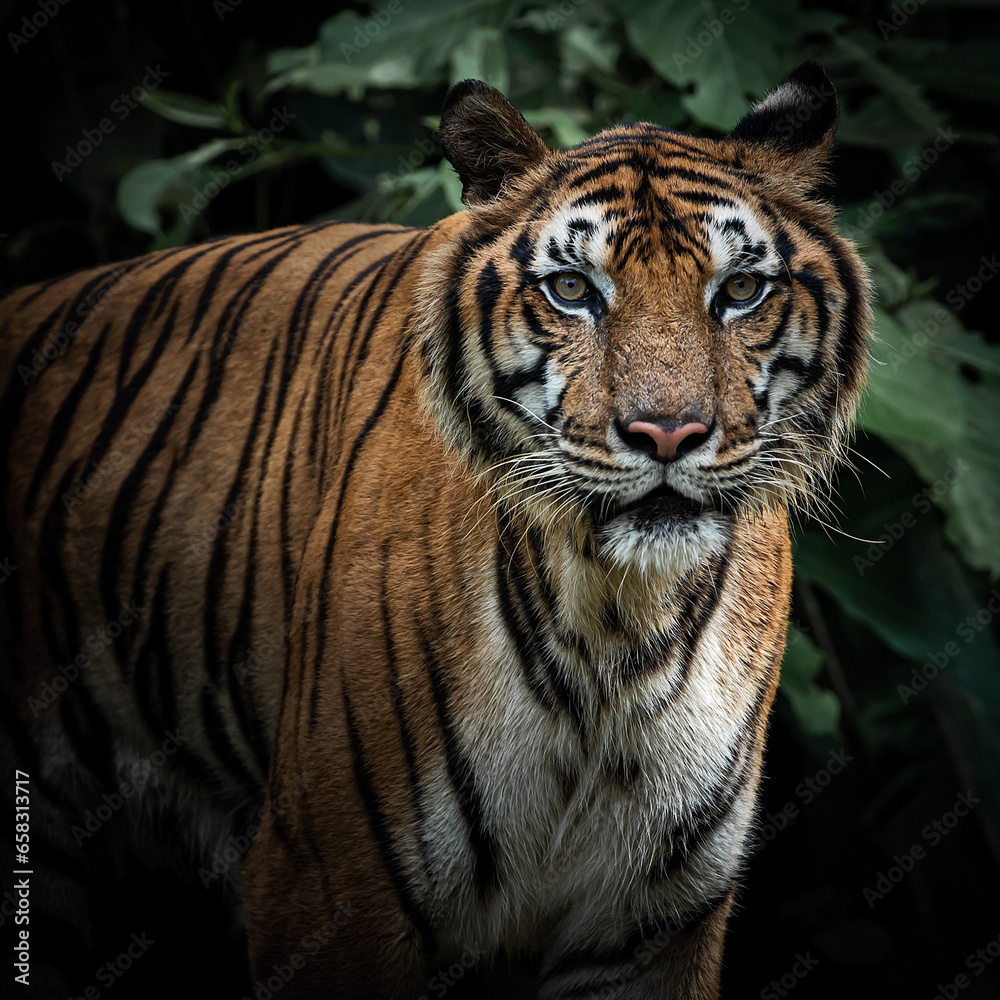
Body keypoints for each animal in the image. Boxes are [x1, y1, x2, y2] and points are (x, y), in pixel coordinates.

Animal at [0, 60, 870, 999]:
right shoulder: (328, 884)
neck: (615, 625)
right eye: (574, 290)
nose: (667, 433)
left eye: (739, 291)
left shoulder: (651, 922)